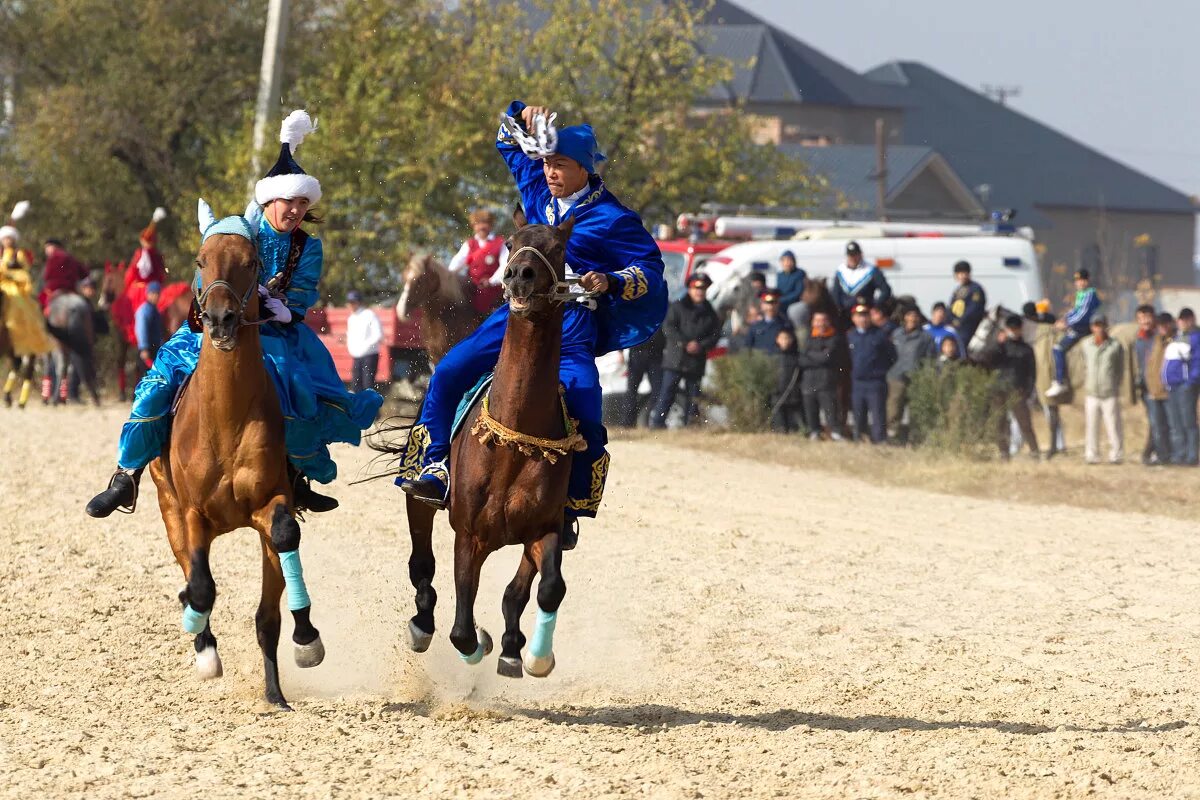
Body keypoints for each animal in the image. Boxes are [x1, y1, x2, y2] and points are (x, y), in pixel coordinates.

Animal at [150, 212, 328, 705]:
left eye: (251, 263)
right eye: (200, 260)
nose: (219, 319)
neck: (224, 420)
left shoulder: (272, 504)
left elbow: (282, 549)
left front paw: (300, 652)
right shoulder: (191, 512)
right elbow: (201, 586)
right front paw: (201, 640)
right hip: (167, 504)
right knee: (192, 576)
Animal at [398, 212, 580, 676]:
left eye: (558, 247)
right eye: (512, 243)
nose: (518, 275)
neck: (514, 438)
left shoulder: (544, 531)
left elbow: (546, 589)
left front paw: (533, 655)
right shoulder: (469, 536)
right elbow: (462, 627)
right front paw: (476, 642)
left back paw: (514, 646)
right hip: (419, 502)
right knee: (422, 565)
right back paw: (423, 624)